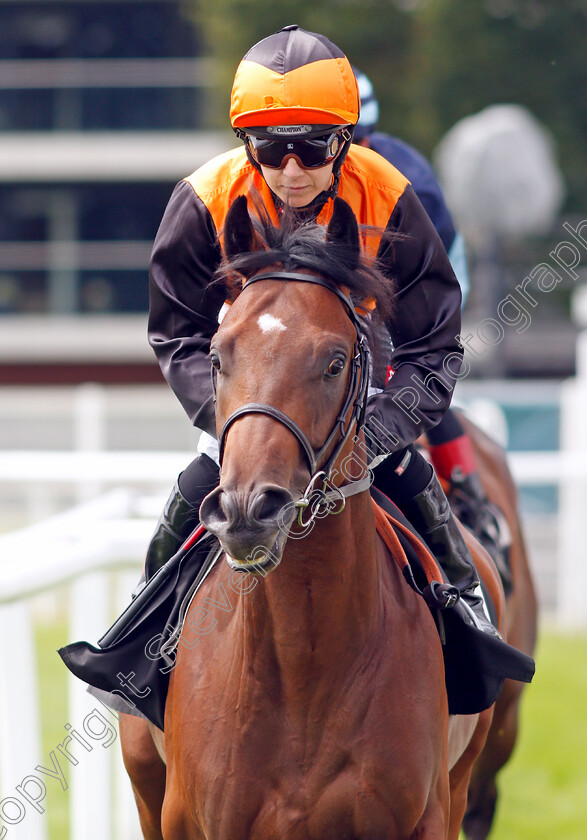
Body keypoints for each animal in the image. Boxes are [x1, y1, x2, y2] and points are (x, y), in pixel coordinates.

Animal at [121, 195, 508, 840]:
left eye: (333, 362)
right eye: (217, 357)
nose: (248, 510)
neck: (304, 663)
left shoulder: (423, 815)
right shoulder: (186, 818)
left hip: (463, 777)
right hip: (145, 780)